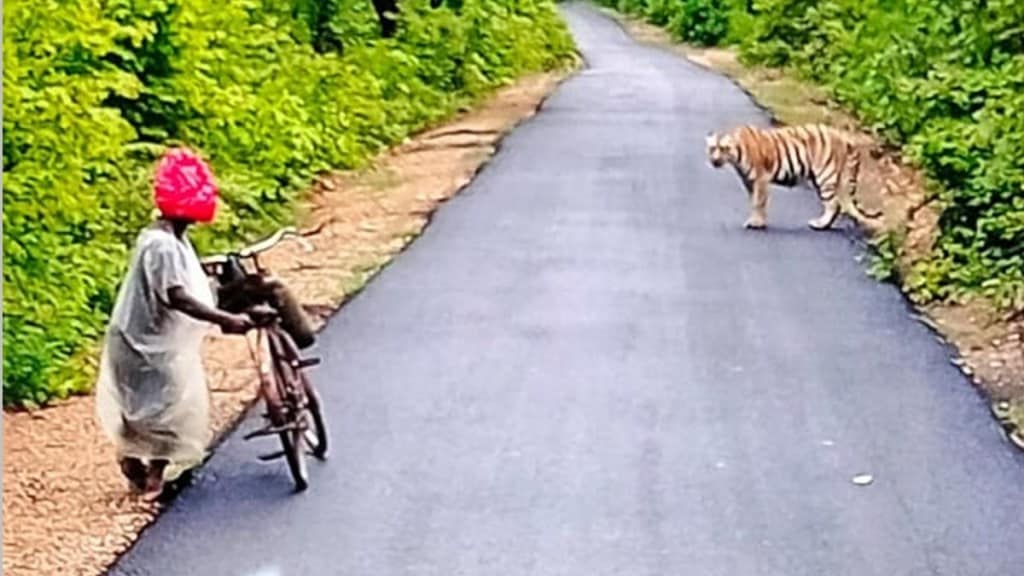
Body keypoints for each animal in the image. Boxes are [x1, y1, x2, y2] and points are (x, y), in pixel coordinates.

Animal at [704, 122, 880, 228]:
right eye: (712, 148)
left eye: (724, 148)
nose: (715, 161)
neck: (737, 156)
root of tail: (844, 138)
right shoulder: (749, 181)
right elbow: (754, 201)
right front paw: (759, 220)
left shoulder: (761, 179)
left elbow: (758, 202)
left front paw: (756, 223)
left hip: (825, 176)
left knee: (833, 203)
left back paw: (820, 225)